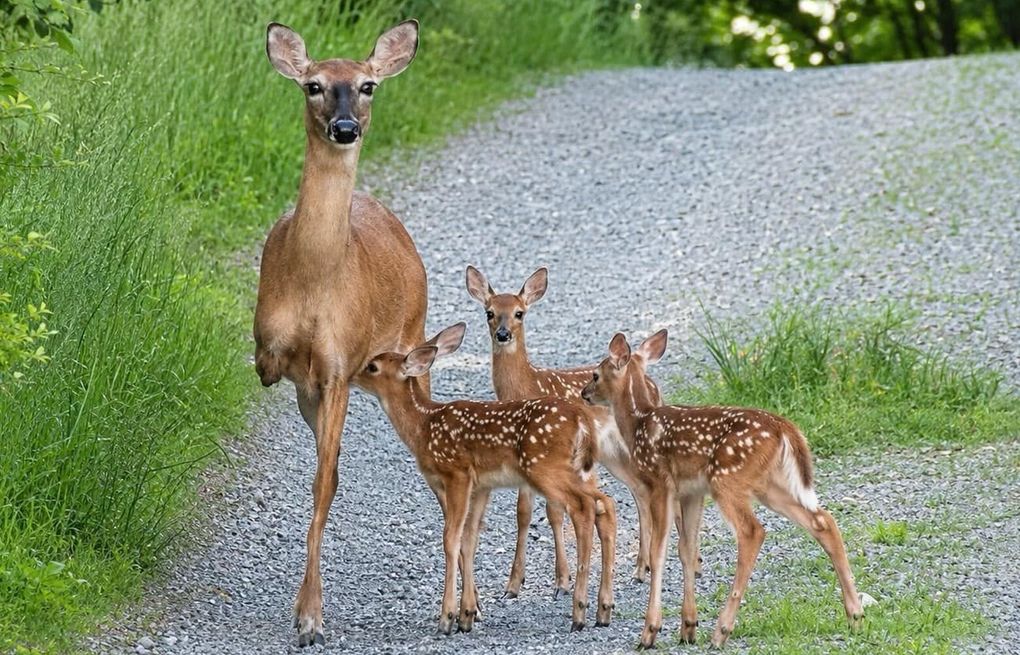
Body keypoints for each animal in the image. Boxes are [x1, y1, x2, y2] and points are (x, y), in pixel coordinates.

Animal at [253, 20, 427, 647]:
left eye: (368, 85)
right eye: (314, 85)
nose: (345, 127)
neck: (315, 283)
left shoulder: (338, 369)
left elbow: (322, 483)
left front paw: (310, 617)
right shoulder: (272, 356)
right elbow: (323, 474)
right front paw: (308, 612)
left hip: (414, 337)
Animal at [353, 323, 617, 635]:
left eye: (373, 366)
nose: (350, 375)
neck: (423, 427)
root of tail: (580, 419)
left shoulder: (457, 473)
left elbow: (451, 538)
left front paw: (447, 618)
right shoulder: (481, 486)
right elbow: (469, 539)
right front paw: (467, 614)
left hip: (544, 468)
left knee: (582, 508)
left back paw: (579, 611)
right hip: (578, 469)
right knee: (604, 504)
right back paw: (603, 609)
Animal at [465, 266, 701, 594]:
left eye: (519, 313)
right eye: (489, 312)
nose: (503, 334)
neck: (526, 387)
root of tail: (649, 381)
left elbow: (554, 511)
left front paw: (563, 580)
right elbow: (524, 513)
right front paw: (514, 583)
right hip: (613, 454)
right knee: (640, 491)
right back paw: (642, 568)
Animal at [580, 330, 865, 649]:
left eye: (595, 374)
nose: (584, 393)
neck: (638, 423)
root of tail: (784, 428)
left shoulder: (660, 484)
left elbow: (658, 552)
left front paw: (650, 631)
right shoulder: (691, 493)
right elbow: (687, 550)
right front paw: (687, 628)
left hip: (727, 479)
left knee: (753, 531)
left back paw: (721, 631)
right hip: (769, 484)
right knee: (823, 521)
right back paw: (855, 616)